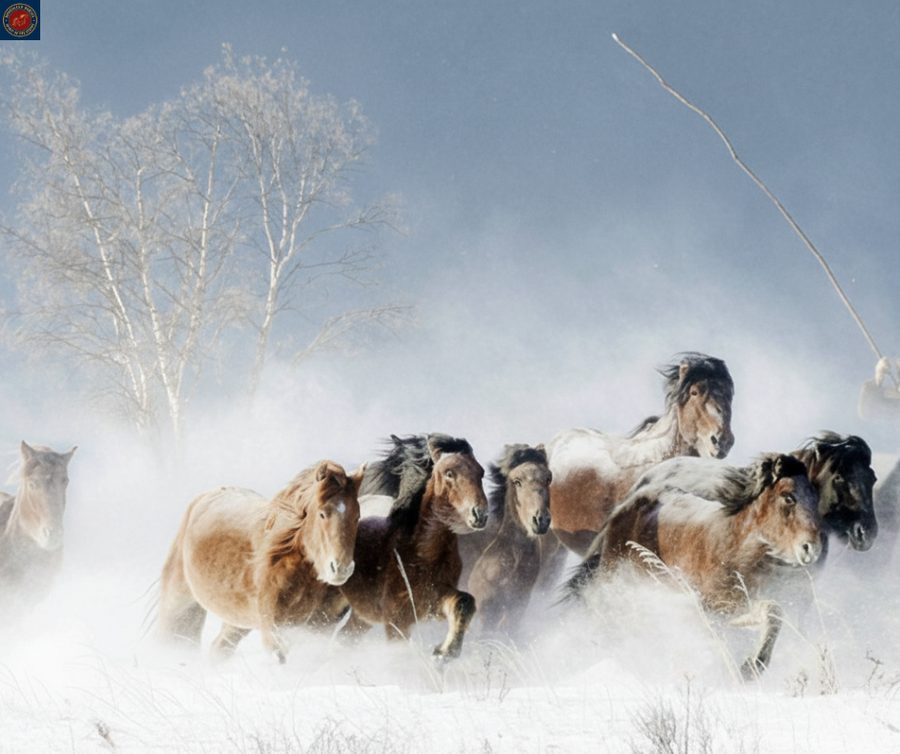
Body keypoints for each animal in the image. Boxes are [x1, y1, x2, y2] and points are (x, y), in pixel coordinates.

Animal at [157, 460, 363, 663]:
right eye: (322, 514)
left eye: (357, 516)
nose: (341, 569)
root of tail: (203, 497)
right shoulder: (272, 628)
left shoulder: (307, 628)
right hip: (177, 600)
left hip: (237, 621)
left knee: (219, 649)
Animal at [339, 434, 489, 661]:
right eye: (449, 473)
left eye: (481, 472)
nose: (480, 514)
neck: (421, 555)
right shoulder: (397, 621)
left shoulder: (432, 601)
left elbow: (464, 602)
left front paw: (444, 653)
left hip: (361, 615)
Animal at [565, 453, 821, 679]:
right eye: (788, 497)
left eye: (814, 498)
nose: (812, 548)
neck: (733, 549)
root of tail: (624, 508)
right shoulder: (711, 609)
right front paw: (751, 666)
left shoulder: (728, 609)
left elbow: (772, 611)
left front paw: (752, 665)